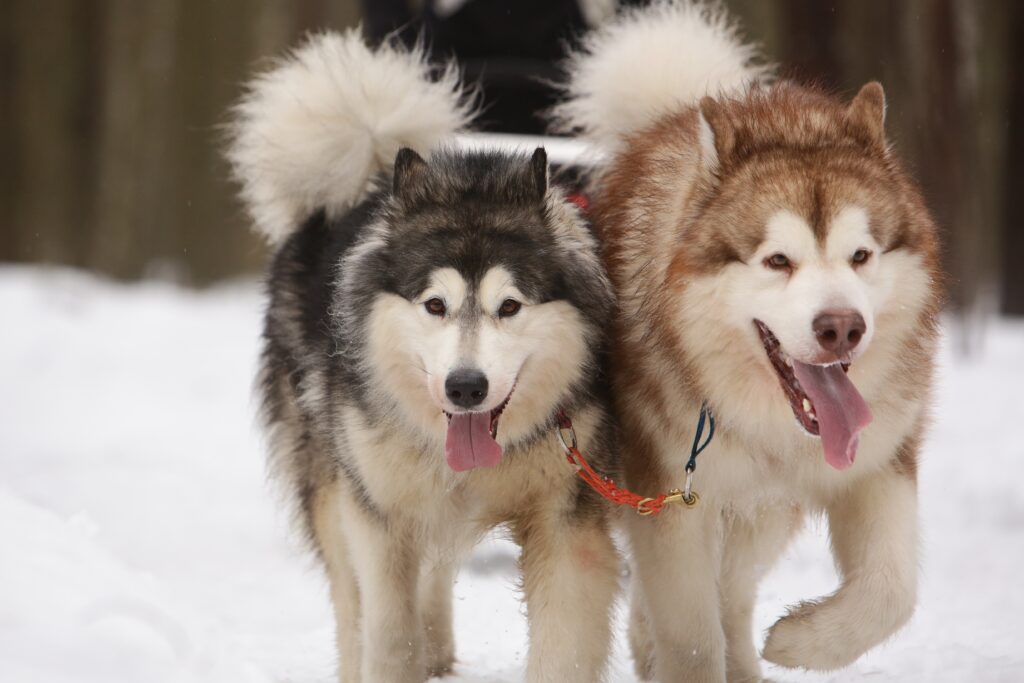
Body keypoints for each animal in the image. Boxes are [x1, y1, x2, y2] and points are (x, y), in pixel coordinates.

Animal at [229, 29, 618, 679]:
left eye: (509, 306)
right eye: (435, 304)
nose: (466, 387)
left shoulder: (566, 517)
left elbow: (562, 642)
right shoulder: (379, 518)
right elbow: (387, 632)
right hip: (330, 479)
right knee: (351, 602)